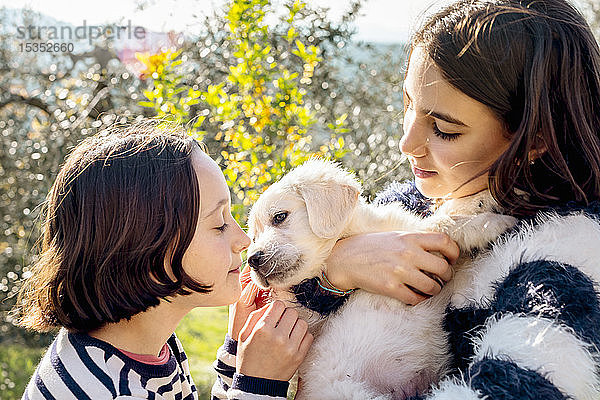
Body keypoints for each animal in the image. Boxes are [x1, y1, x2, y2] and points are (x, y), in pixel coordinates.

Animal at [247, 160, 516, 400]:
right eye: (254, 236)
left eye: (279, 217)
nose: (252, 260)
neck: (356, 233)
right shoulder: (417, 244)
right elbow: (441, 222)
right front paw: (492, 222)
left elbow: (446, 215)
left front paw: (485, 197)